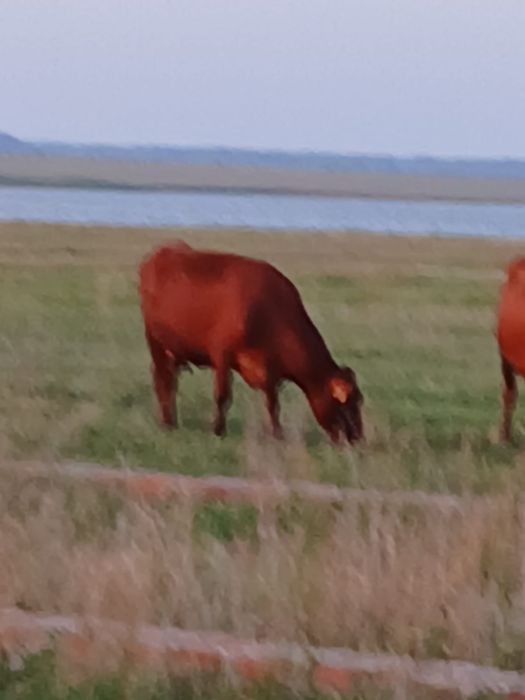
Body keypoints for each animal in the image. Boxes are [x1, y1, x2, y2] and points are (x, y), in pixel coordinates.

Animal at [139, 242, 364, 444]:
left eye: (359, 401)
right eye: (346, 403)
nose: (358, 439)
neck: (269, 311)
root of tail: (162, 251)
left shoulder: (271, 370)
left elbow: (273, 404)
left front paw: (277, 435)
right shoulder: (222, 355)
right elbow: (223, 395)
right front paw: (218, 431)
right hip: (154, 341)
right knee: (163, 382)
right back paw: (167, 424)